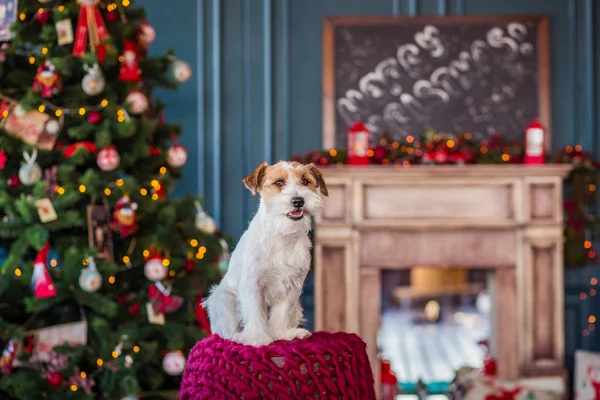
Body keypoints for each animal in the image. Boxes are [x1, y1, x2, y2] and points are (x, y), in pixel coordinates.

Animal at [205, 161, 328, 346]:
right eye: (279, 182)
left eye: (305, 181)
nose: (298, 201)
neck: (282, 234)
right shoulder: (252, 284)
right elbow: (255, 312)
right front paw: (257, 338)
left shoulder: (292, 285)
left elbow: (281, 314)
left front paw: (280, 334)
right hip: (223, 299)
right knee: (225, 331)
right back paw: (239, 336)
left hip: (297, 308)